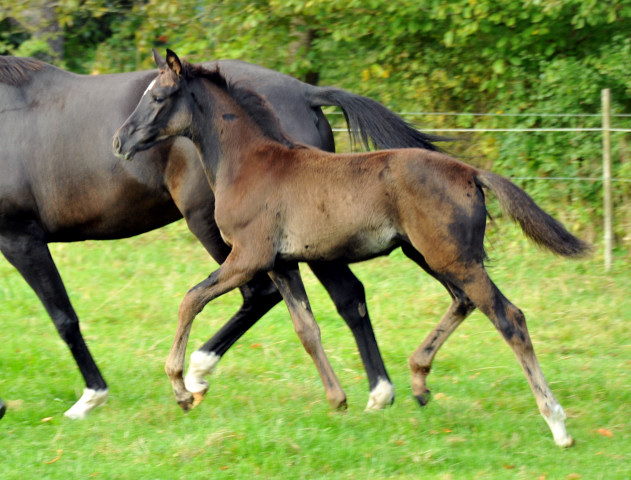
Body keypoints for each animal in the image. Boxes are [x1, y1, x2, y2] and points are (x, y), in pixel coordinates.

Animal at [0, 54, 444, 418]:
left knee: (266, 294)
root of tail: (305, 91)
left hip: (221, 227)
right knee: (346, 297)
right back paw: (379, 393)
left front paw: (92, 397)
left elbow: (64, 316)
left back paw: (198, 374)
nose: (118, 142)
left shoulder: (19, 237)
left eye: (158, 98)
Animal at [111, 51, 592, 446]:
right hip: (430, 255)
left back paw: (557, 424)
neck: (250, 164)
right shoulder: (283, 264)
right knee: (464, 302)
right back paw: (418, 380)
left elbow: (190, 299)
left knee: (509, 318)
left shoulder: (248, 258)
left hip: (450, 257)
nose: (119, 141)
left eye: (159, 97)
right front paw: (338, 399)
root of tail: (470, 173)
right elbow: (306, 329)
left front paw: (181, 388)